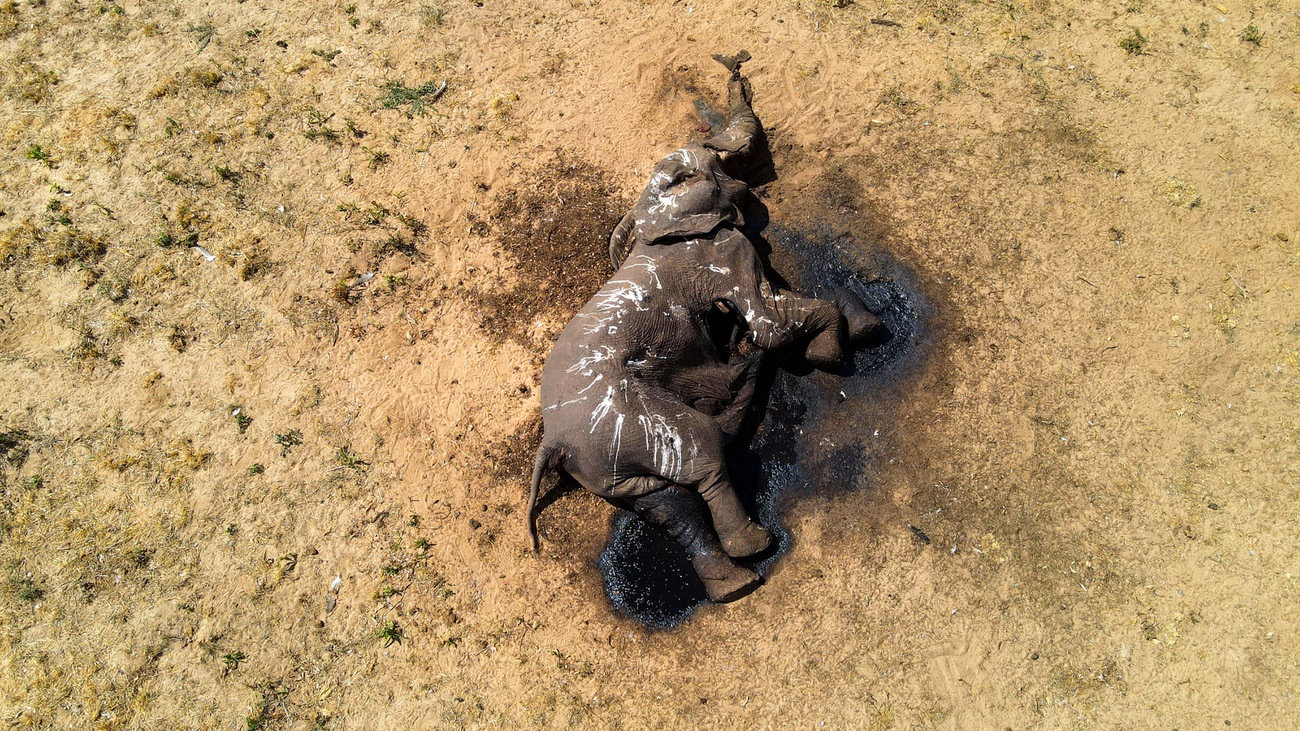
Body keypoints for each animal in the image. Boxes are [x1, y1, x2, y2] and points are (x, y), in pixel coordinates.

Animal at [527, 54, 885, 603]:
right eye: (709, 167)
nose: (735, 64)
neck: (650, 215)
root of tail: (555, 442)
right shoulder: (720, 252)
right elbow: (769, 324)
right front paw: (832, 351)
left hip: (606, 462)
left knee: (666, 501)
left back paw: (732, 583)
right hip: (631, 419)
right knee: (702, 450)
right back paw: (752, 550)